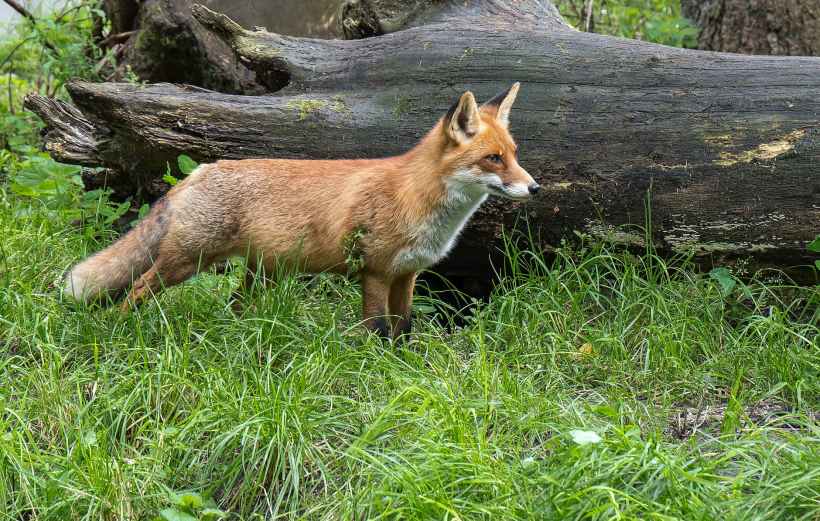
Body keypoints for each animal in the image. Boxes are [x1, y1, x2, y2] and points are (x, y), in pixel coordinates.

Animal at [64, 82, 539, 339]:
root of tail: (199, 170)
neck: (415, 199)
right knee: (136, 289)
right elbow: (376, 331)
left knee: (233, 305)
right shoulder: (375, 273)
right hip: (185, 262)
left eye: (514, 155)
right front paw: (377, 372)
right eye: (493, 159)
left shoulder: (407, 275)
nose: (534, 187)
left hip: (259, 274)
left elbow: (404, 330)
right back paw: (120, 331)